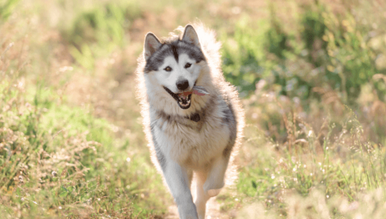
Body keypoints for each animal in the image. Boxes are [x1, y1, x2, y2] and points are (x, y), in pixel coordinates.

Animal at [136, 24, 244, 219]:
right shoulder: (171, 160)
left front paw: (203, 200)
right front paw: (189, 211)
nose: (182, 84)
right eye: (167, 68)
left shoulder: (223, 149)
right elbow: (184, 196)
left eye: (188, 65)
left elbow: (211, 187)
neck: (191, 118)